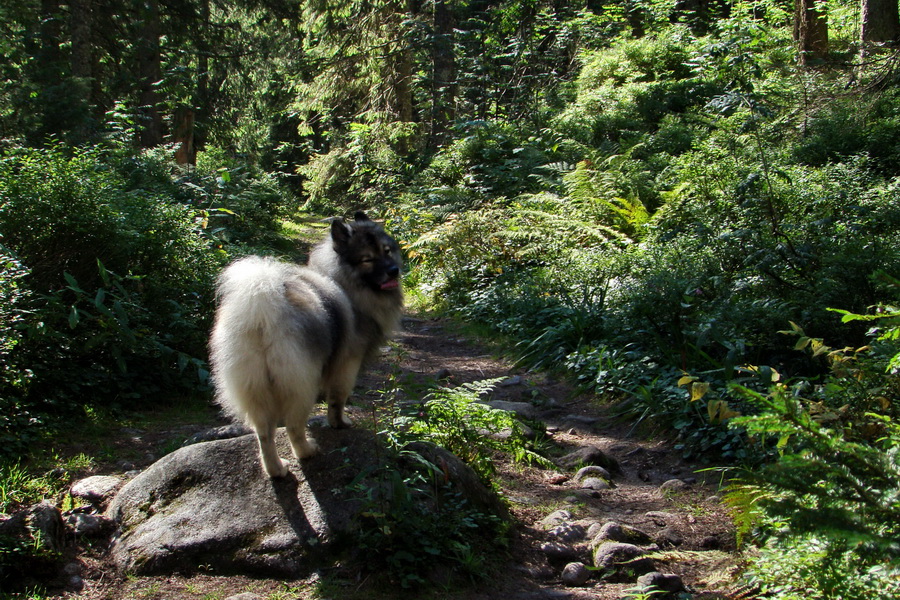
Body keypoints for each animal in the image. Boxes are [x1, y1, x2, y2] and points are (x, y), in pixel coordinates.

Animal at [209, 213, 402, 476]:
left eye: (387, 251)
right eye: (367, 259)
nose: (394, 271)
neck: (343, 281)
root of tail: (261, 310)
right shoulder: (348, 364)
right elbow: (338, 399)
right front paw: (339, 423)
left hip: (254, 385)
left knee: (264, 434)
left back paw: (276, 469)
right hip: (299, 384)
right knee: (293, 426)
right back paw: (306, 451)